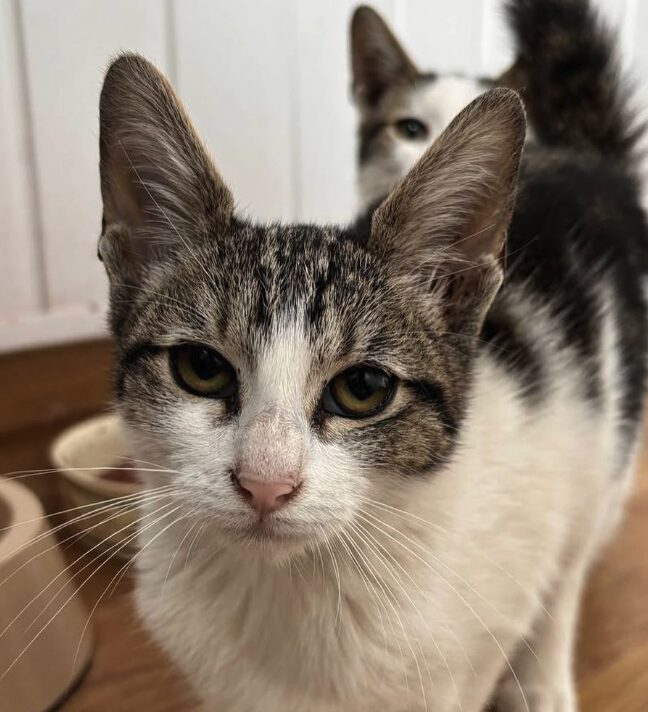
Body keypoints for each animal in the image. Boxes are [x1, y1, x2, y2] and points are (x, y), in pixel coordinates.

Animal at [97, 1, 648, 712]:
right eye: (202, 369)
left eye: (362, 388)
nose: (265, 484)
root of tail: (579, 156)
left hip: (599, 440)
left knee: (570, 560)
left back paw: (544, 674)